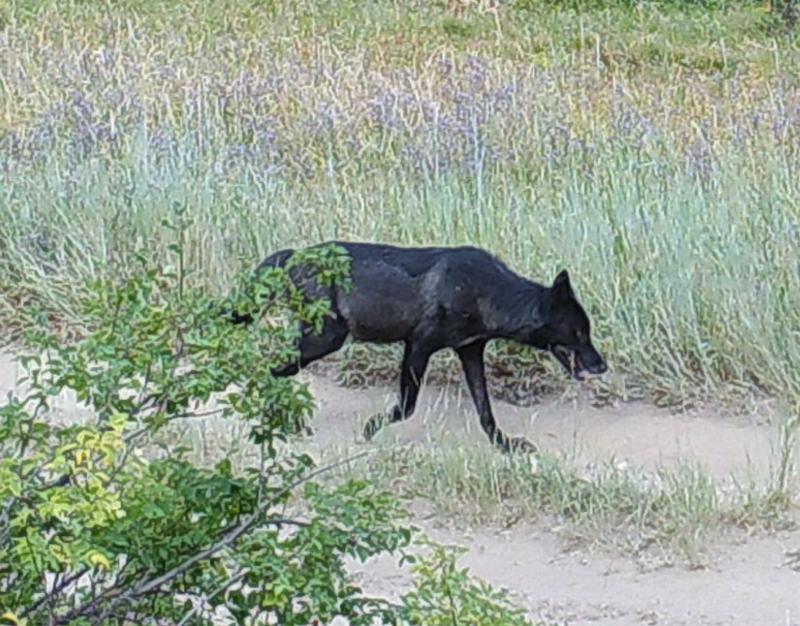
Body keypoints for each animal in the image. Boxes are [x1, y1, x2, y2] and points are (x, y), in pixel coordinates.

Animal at [231, 241, 608, 450]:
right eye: (578, 334)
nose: (602, 366)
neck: (484, 290)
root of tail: (294, 255)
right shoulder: (418, 346)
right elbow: (407, 408)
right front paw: (368, 430)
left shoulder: (470, 351)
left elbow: (486, 412)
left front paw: (505, 447)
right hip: (325, 341)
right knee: (267, 370)